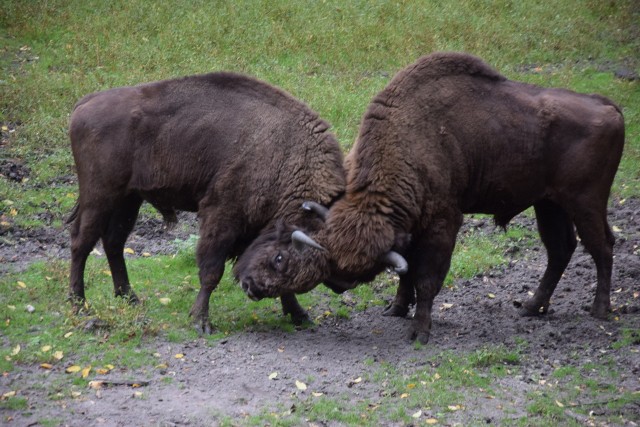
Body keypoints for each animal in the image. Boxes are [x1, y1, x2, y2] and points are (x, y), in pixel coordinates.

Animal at [66, 72, 344, 334]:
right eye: (279, 258)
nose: (251, 288)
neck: (288, 157)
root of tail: (84, 103)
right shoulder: (221, 216)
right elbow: (211, 271)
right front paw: (201, 322)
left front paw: (300, 315)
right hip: (99, 196)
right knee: (81, 242)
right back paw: (79, 305)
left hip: (128, 199)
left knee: (113, 243)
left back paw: (130, 297)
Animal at [235, 51, 624, 344]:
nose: (337, 284)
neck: (406, 142)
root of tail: (607, 106)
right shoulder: (410, 229)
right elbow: (406, 274)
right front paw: (395, 309)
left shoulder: (442, 224)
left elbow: (425, 279)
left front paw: (419, 332)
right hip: (549, 204)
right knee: (560, 249)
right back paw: (531, 307)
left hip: (585, 202)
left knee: (601, 246)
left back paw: (598, 310)